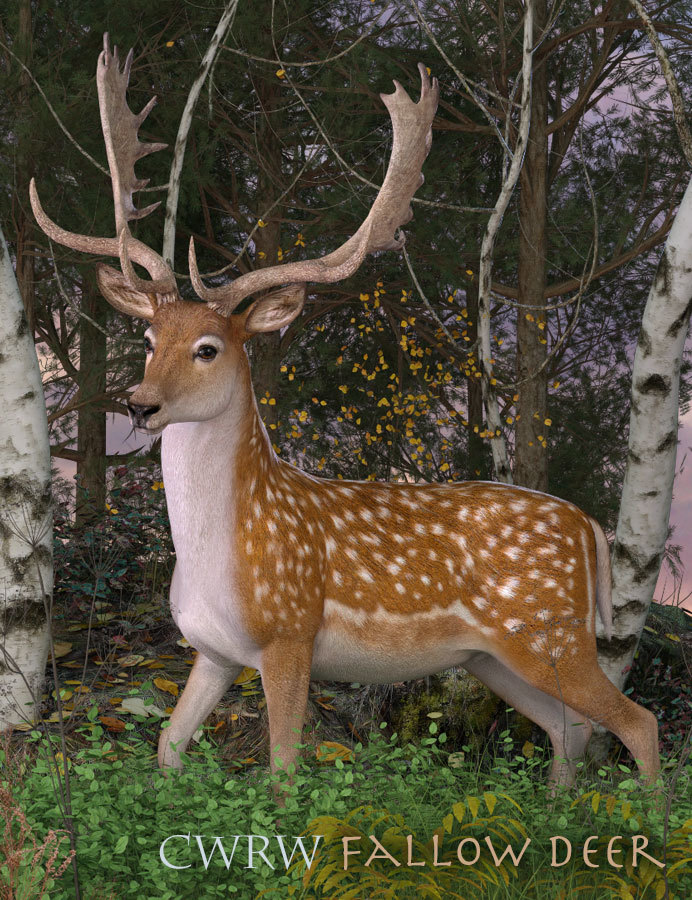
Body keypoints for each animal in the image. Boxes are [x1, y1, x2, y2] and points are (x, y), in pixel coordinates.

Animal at [31, 35, 659, 793]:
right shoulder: (214, 651)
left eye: (209, 347)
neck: (224, 549)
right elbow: (167, 748)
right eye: (149, 339)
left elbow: (282, 771)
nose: (139, 402)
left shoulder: (289, 633)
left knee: (637, 721)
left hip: (549, 632)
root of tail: (591, 529)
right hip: (494, 657)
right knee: (571, 729)